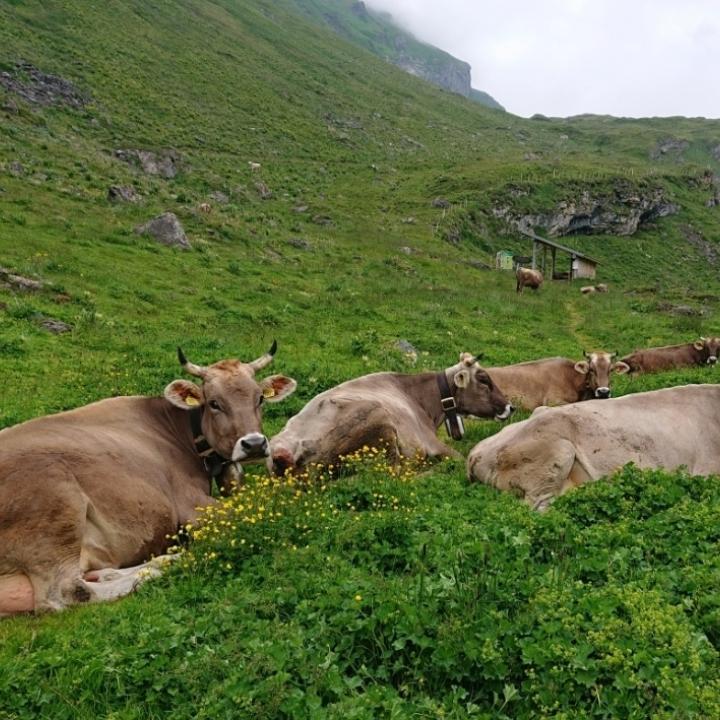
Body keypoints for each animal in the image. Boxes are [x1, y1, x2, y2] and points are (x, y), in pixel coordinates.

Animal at [0, 342, 296, 612]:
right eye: (214, 403)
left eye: (259, 399)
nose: (254, 444)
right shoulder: (192, 506)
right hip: (57, 504)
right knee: (67, 592)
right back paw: (157, 569)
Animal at [268, 352, 512, 476]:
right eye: (484, 379)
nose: (511, 407)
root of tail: (282, 451)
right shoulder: (433, 443)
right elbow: (460, 458)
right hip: (379, 420)